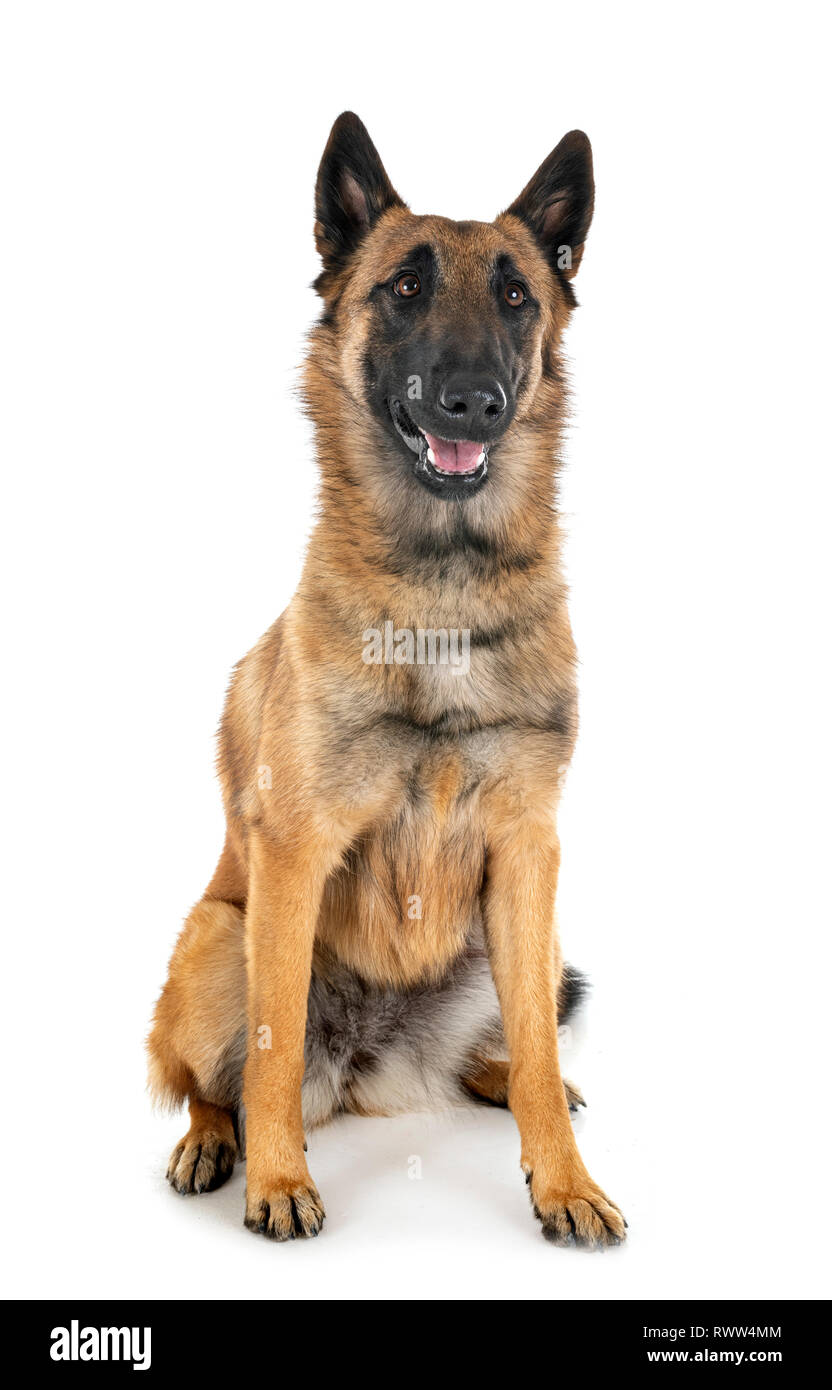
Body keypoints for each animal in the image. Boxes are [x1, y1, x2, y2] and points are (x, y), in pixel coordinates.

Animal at [147, 113, 625, 1251]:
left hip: (533, 939)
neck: (442, 586)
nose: (473, 401)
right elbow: (272, 1047)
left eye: (515, 296)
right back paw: (214, 1144)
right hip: (217, 933)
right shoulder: (293, 853)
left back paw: (503, 1077)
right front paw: (279, 1179)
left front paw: (564, 1180)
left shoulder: (528, 849)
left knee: (517, 1043)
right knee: (212, 1080)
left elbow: (542, 1047)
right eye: (404, 287)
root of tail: (374, 1062)